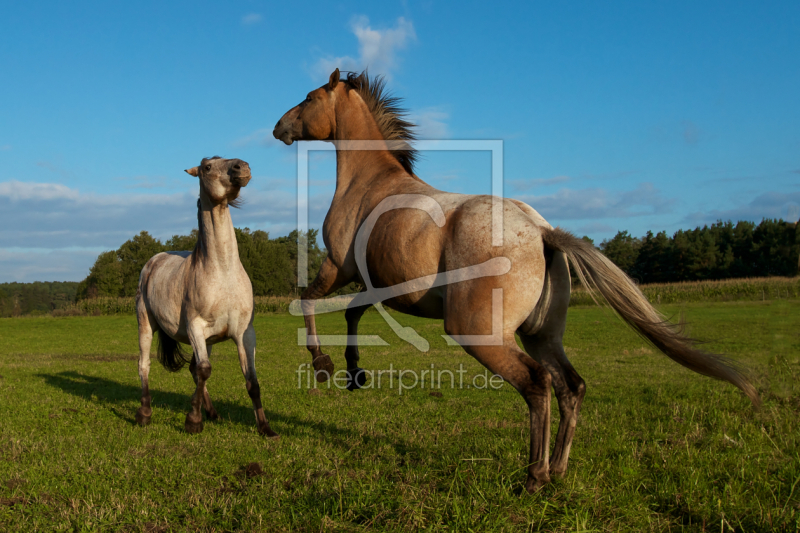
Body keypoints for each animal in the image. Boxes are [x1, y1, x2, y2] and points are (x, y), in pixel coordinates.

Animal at [134, 155, 278, 436]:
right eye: (208, 167)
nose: (242, 167)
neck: (222, 271)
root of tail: (152, 262)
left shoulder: (244, 332)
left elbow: (251, 380)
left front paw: (266, 428)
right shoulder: (195, 328)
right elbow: (204, 370)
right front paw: (193, 421)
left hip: (208, 341)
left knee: (193, 369)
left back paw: (212, 413)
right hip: (146, 325)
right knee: (145, 365)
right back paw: (144, 414)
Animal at [274, 70, 756, 494]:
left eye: (309, 97)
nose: (278, 128)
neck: (369, 184)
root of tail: (542, 231)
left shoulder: (338, 267)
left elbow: (307, 301)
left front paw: (324, 366)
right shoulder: (371, 285)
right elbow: (352, 314)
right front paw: (354, 374)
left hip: (481, 334)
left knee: (537, 384)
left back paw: (533, 477)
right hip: (541, 334)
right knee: (570, 386)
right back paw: (557, 470)